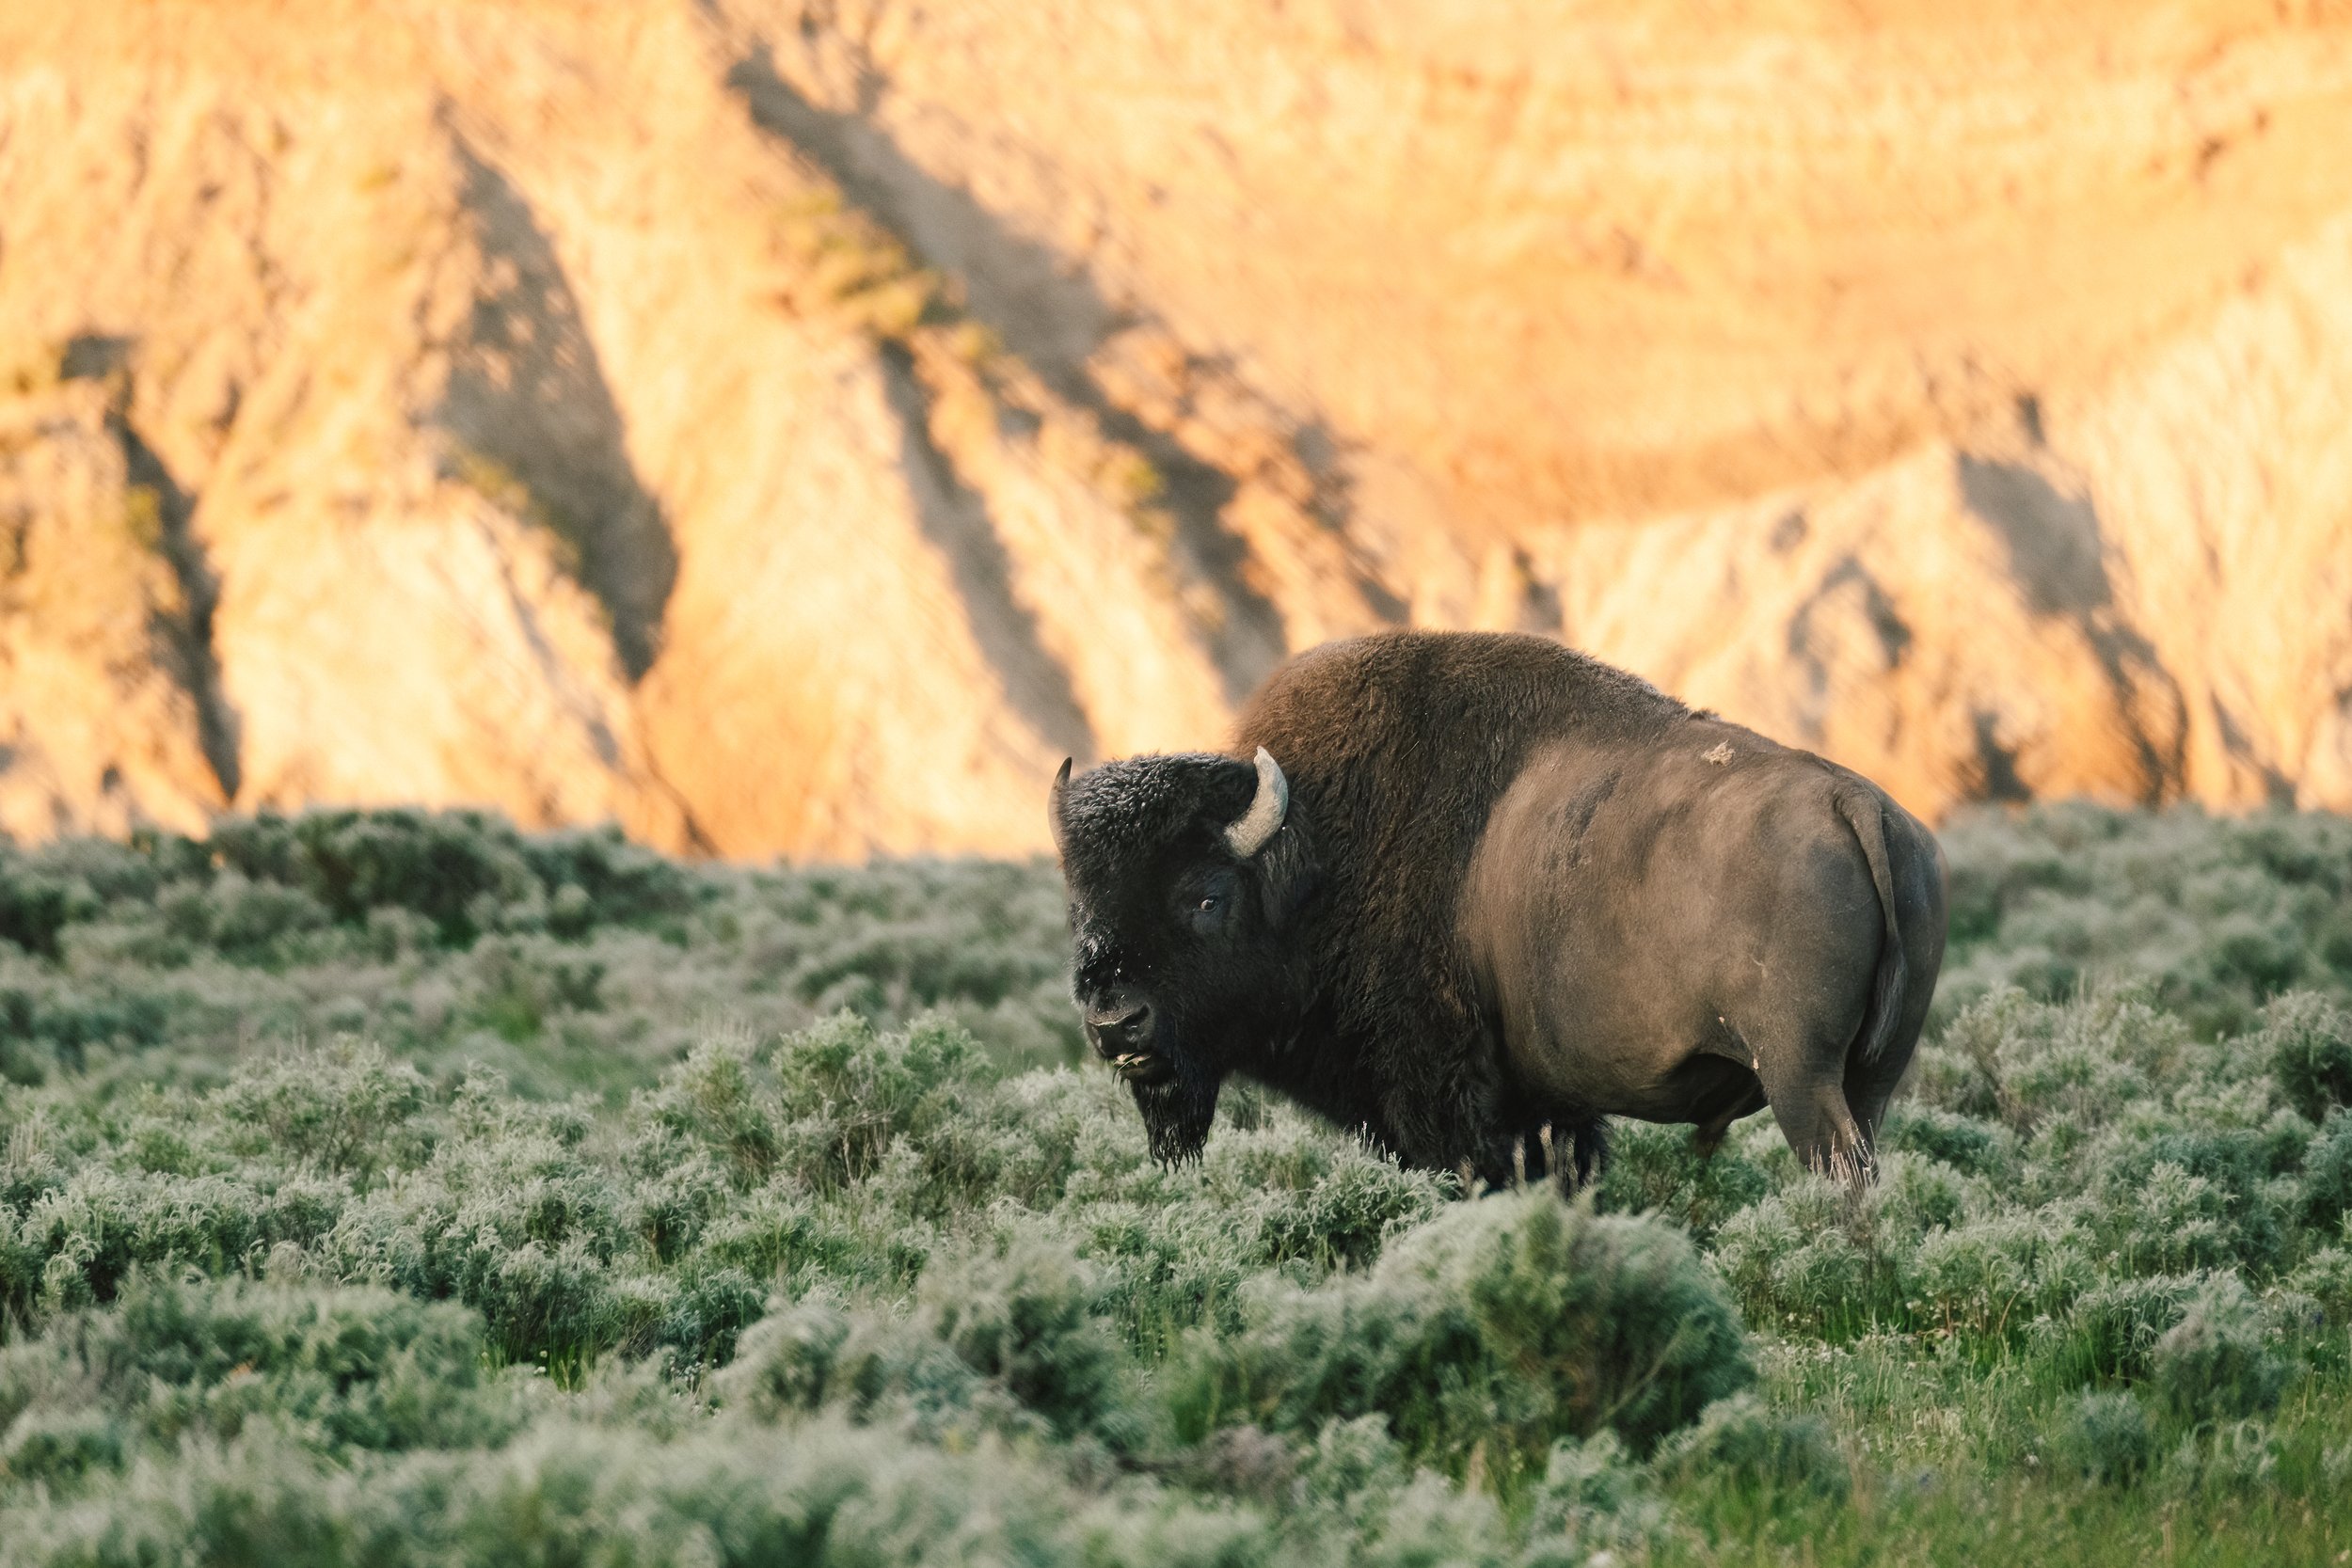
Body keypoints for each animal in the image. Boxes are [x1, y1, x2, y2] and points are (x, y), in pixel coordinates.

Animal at [1049, 630, 1947, 1186]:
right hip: (1871, 1080)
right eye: (1079, 902)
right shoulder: (1548, 1107)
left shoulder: (1439, 1096)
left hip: (1802, 1079)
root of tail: (1860, 805)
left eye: (1206, 894)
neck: (1318, 853)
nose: (1115, 1024)